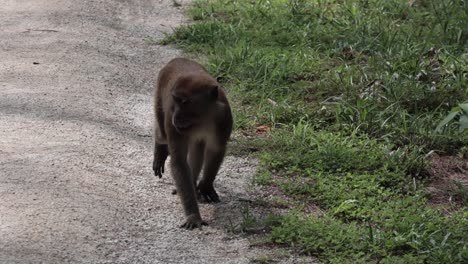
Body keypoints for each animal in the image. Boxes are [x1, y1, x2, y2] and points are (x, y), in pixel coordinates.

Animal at [153, 57, 233, 229]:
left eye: (184, 102)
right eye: (176, 101)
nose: (176, 116)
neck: (204, 119)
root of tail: (177, 59)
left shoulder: (223, 118)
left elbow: (216, 150)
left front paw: (205, 185)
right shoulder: (173, 123)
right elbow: (179, 162)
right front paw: (193, 215)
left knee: (198, 148)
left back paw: (194, 181)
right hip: (160, 99)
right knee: (162, 134)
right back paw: (160, 148)